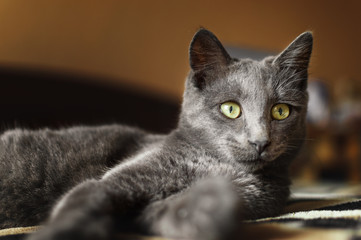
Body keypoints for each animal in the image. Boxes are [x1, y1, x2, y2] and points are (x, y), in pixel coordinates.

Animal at [0, 28, 310, 240]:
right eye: (231, 109)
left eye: (281, 111)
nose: (260, 141)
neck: (215, 164)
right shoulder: (119, 179)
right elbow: (83, 202)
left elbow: (175, 213)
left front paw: (211, 209)